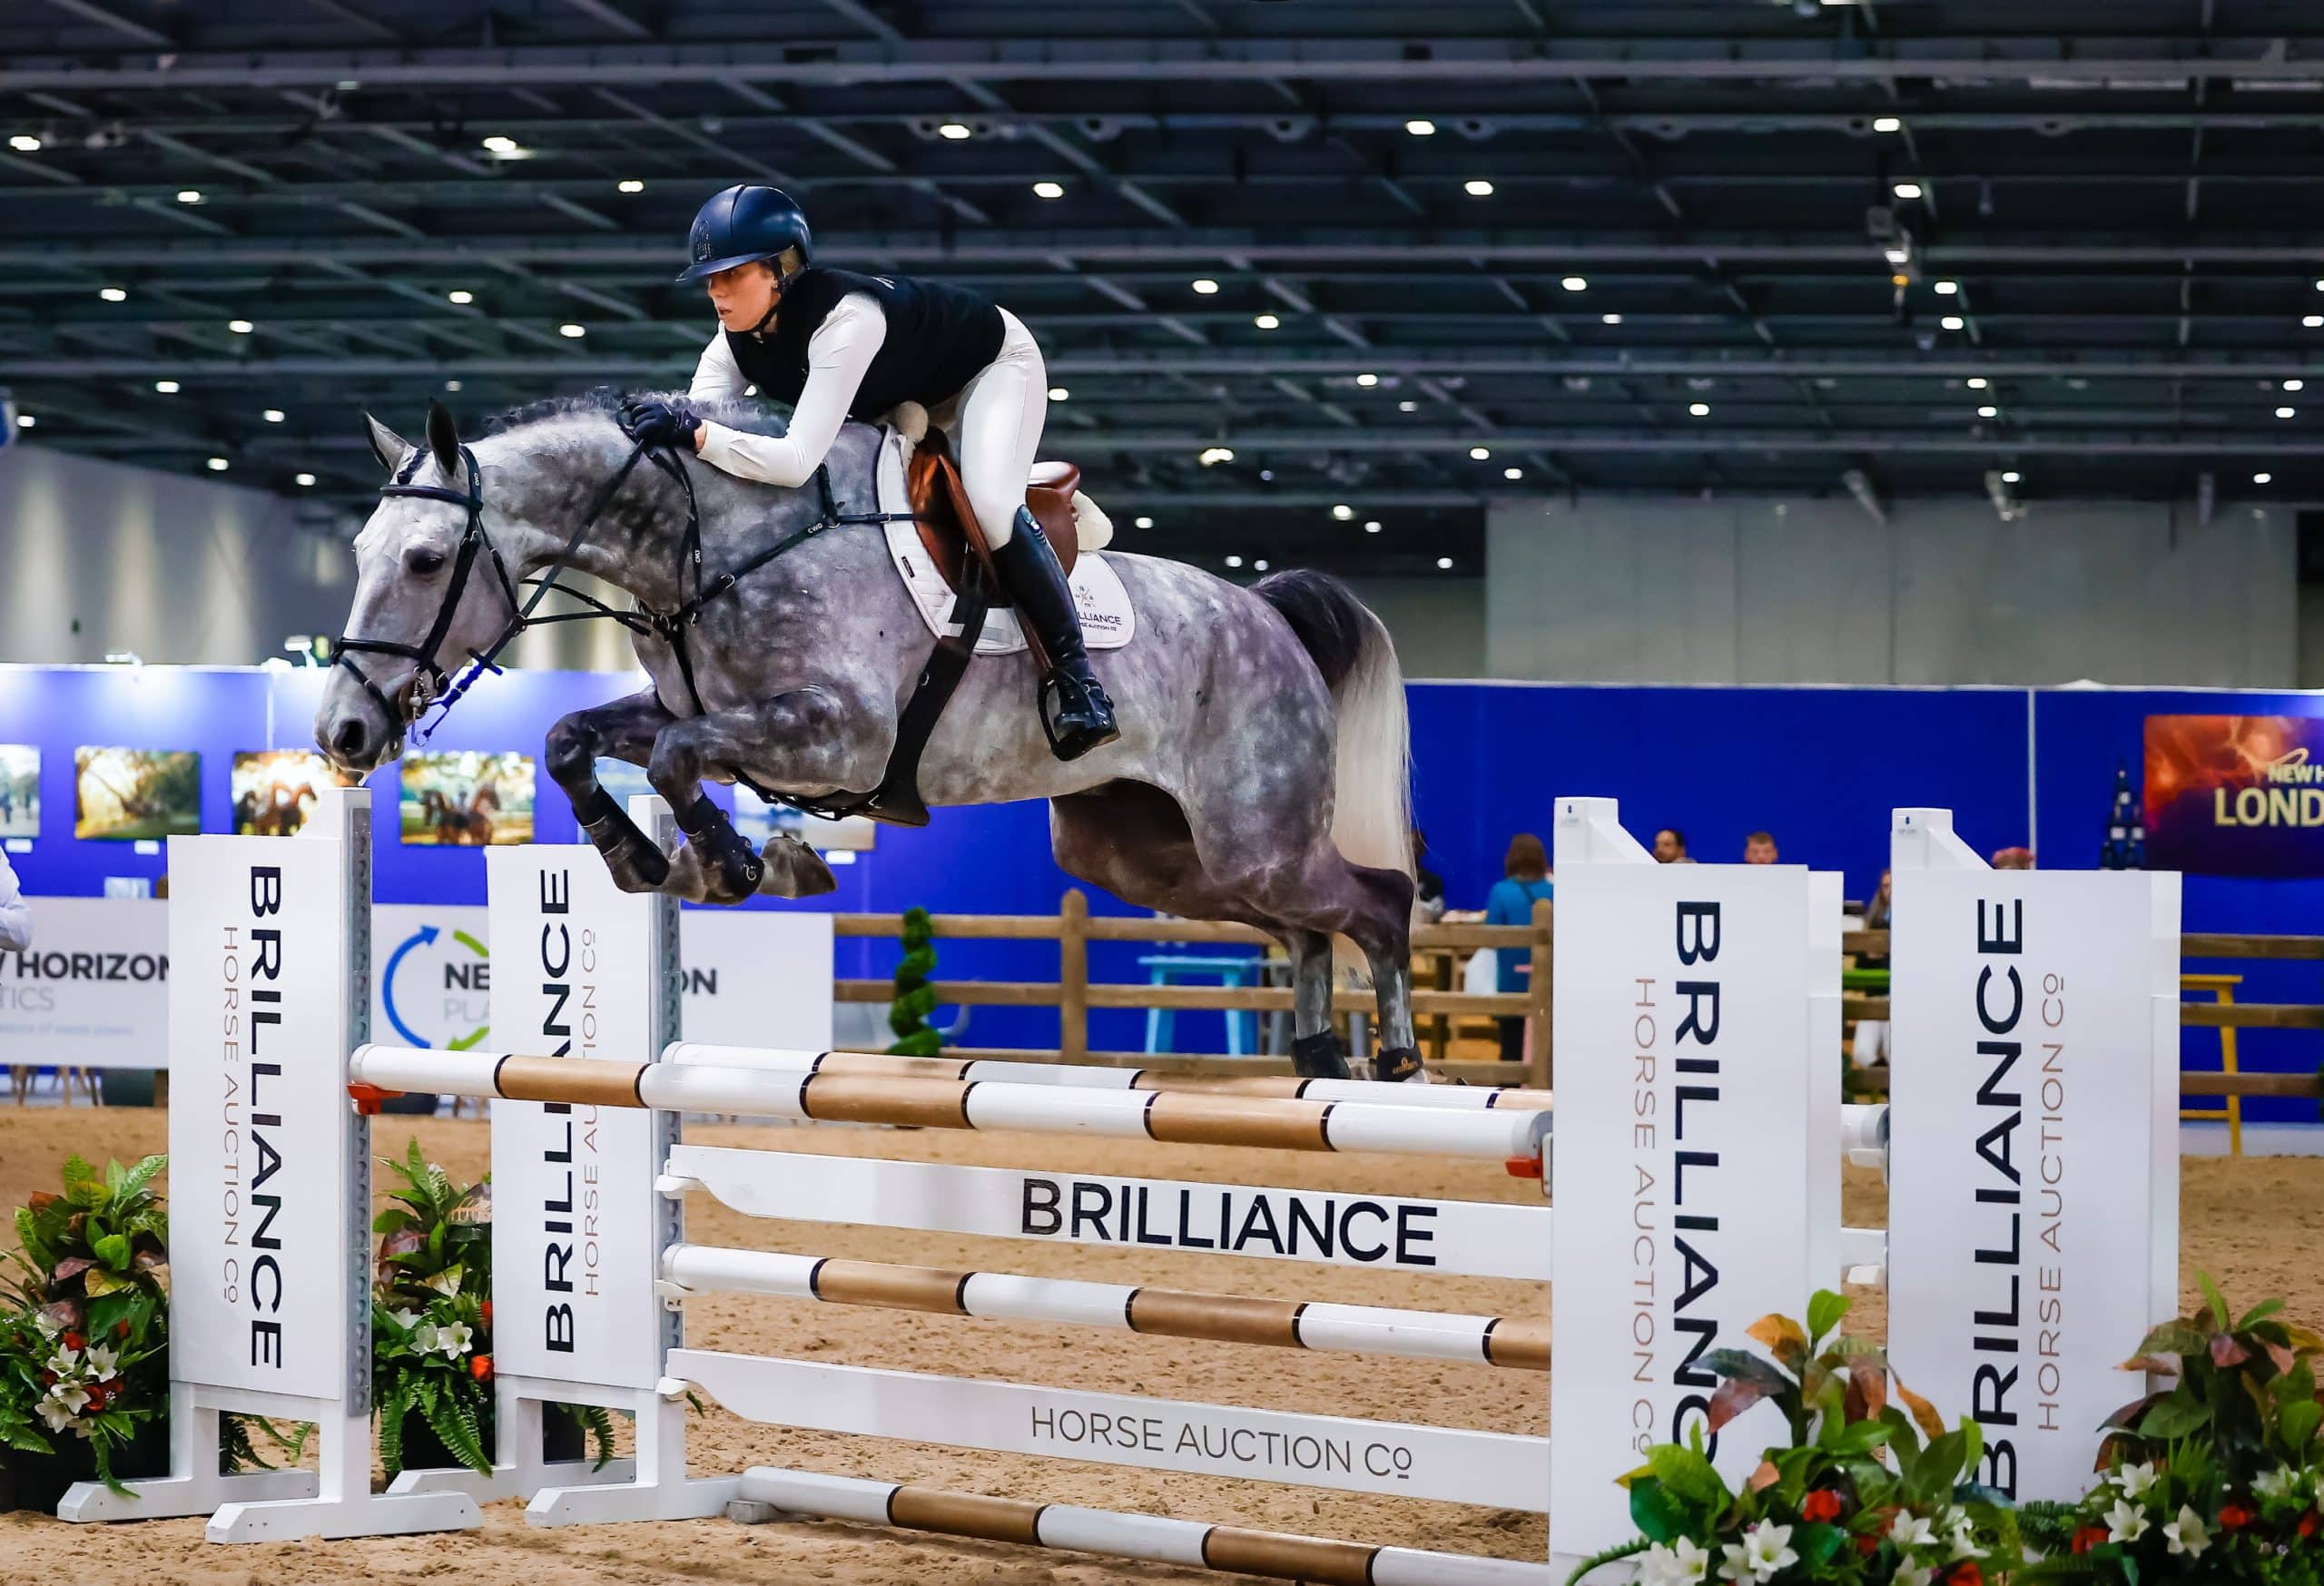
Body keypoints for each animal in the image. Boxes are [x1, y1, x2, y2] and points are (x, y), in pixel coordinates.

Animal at [318, 395, 1422, 1079]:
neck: (707, 544)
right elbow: (571, 737)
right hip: (1141, 854)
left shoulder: (836, 737)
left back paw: (1397, 1055)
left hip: (1253, 838)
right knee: (1304, 928)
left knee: (1376, 902)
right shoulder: (693, 712)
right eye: (361, 550)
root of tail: (1269, 614)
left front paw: (734, 862)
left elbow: (677, 760)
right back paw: (1320, 1055)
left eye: (425, 559)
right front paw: (637, 856)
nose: (344, 730)